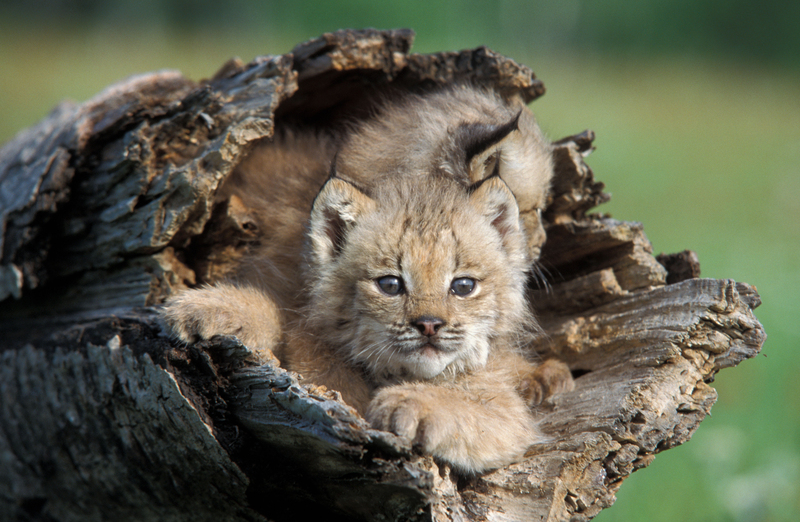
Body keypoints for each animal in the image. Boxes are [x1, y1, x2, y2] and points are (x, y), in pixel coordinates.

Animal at [164, 84, 576, 472]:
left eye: (463, 287)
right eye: (390, 285)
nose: (430, 325)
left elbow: (489, 410)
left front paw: (415, 402)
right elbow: (290, 320)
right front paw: (215, 309)